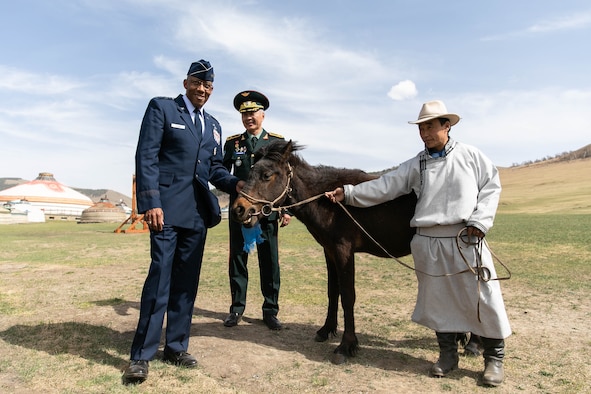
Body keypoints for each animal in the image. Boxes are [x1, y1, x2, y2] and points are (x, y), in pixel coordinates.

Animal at [231, 140, 416, 364]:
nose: (239, 209)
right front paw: (326, 330)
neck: (329, 202)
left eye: (266, 175)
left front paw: (346, 345)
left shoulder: (344, 251)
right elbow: (332, 292)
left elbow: (347, 296)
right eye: (249, 172)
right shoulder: (330, 252)